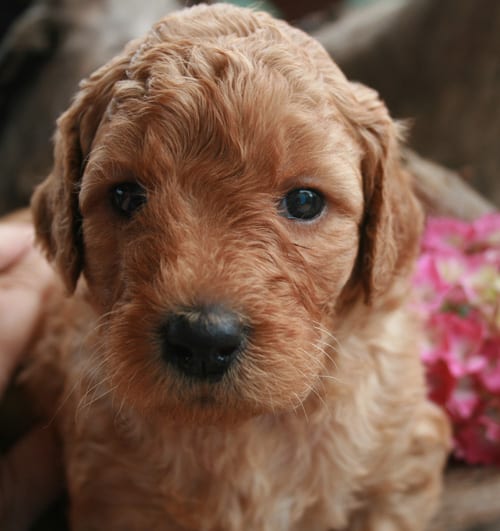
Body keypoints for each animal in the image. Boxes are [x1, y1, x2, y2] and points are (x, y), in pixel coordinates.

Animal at [23, 3, 450, 530]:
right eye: (124, 195)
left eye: (305, 201)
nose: (203, 338)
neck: (243, 428)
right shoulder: (115, 497)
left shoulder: (400, 466)